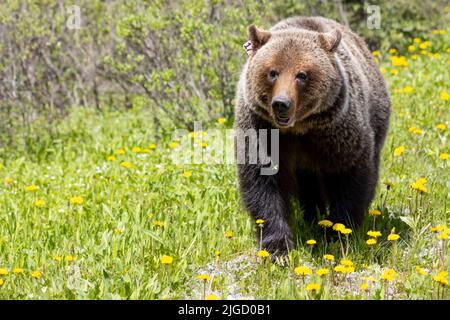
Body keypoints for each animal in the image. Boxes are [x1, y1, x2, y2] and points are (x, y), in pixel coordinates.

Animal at [236, 16, 390, 255]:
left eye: (302, 74)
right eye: (272, 72)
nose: (281, 104)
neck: (298, 128)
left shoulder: (336, 132)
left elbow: (348, 177)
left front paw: (338, 233)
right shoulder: (262, 129)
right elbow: (263, 184)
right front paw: (277, 247)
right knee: (308, 185)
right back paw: (311, 216)